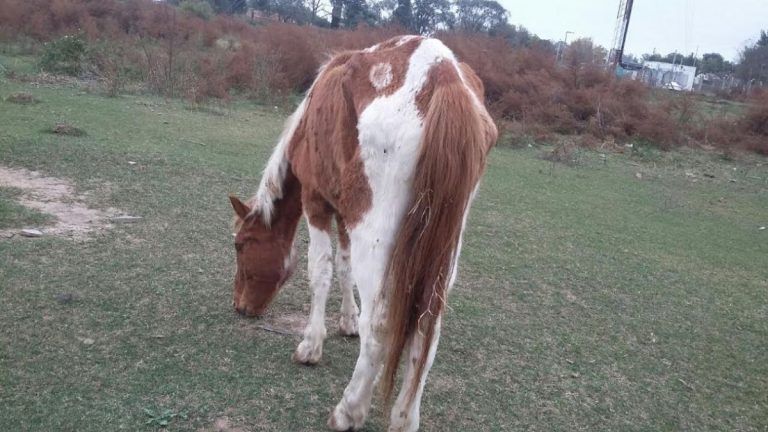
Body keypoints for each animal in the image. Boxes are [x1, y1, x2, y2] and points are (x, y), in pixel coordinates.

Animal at [228, 36, 498, 432]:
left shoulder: (317, 202)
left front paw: (311, 345)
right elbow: (344, 267)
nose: (241, 306)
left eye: (240, 246)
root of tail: (443, 76)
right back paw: (404, 418)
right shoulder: (344, 213)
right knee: (427, 329)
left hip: (376, 238)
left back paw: (349, 409)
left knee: (381, 326)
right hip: (444, 249)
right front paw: (347, 320)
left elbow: (320, 272)